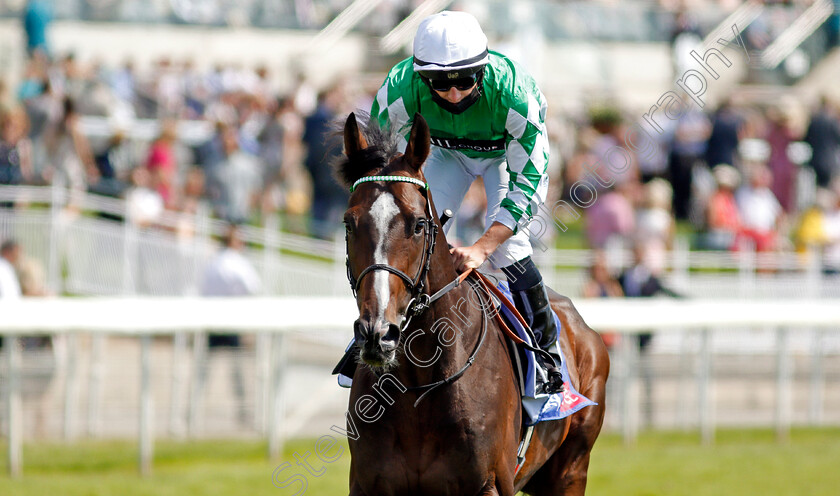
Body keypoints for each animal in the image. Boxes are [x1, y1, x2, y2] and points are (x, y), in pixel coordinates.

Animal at [338, 113, 608, 496]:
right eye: (349, 222)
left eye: (418, 225)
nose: (378, 333)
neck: (419, 385)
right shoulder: (367, 485)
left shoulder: (490, 485)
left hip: (571, 470)